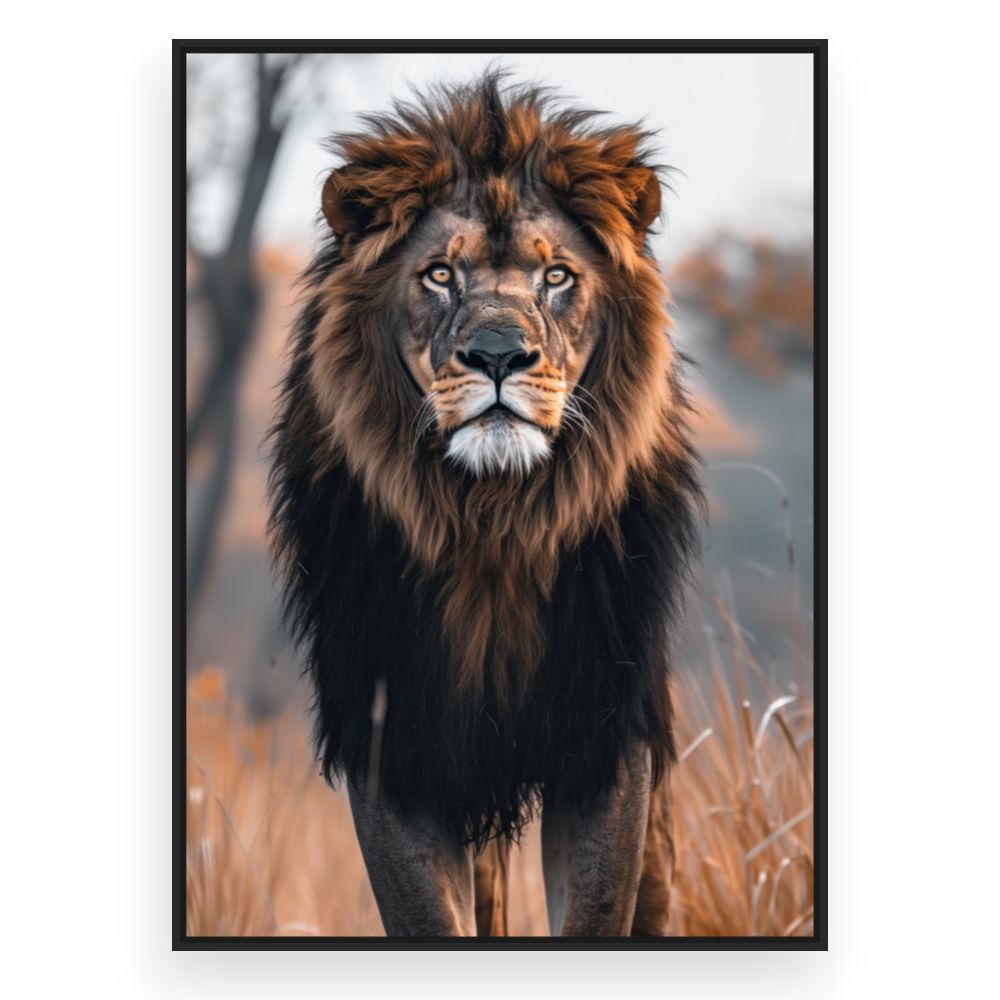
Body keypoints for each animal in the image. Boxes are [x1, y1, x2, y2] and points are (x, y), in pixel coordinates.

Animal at [268, 73, 702, 937]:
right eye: (440, 274)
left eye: (557, 277)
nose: (498, 355)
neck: (492, 522)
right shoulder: (392, 741)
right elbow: (427, 918)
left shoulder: (607, 740)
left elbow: (598, 913)